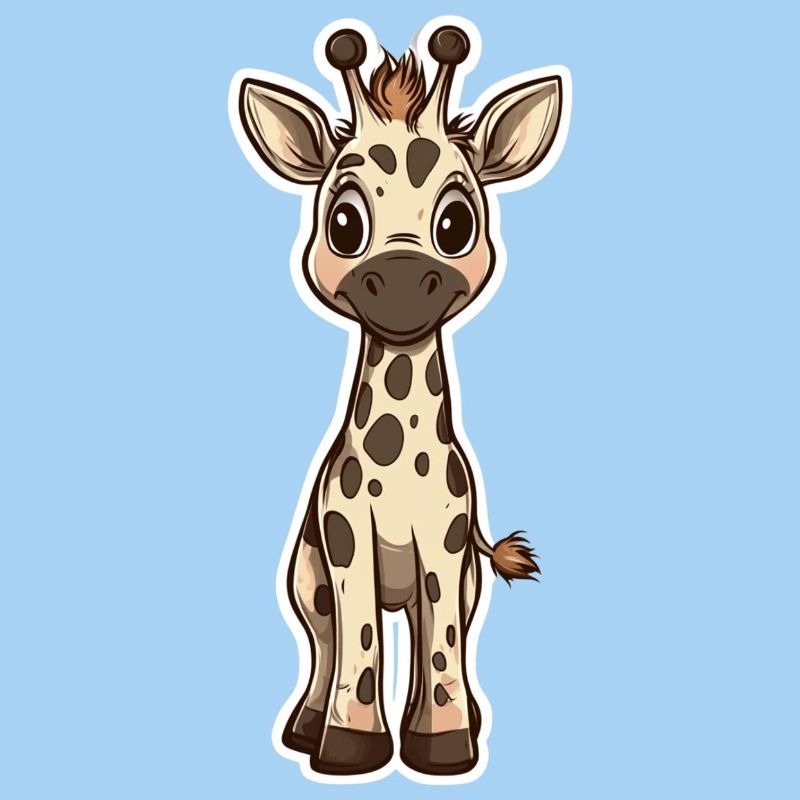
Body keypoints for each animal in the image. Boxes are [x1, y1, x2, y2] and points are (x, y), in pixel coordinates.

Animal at [231, 21, 569, 777]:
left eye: (456, 223)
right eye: (344, 223)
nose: (406, 276)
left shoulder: (446, 550)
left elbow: (439, 644)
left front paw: (443, 745)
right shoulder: (345, 544)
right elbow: (357, 642)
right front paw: (348, 747)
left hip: (463, 581)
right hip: (307, 581)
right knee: (327, 641)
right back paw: (305, 727)